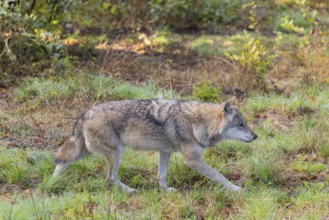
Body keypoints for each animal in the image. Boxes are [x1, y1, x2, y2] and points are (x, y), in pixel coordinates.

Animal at [52, 97, 256, 192]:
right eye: (241, 125)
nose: (256, 136)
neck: (198, 123)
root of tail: (84, 114)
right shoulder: (192, 160)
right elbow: (219, 175)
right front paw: (236, 189)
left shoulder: (164, 152)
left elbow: (162, 175)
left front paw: (166, 191)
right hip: (117, 153)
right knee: (111, 177)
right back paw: (130, 191)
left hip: (85, 152)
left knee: (61, 162)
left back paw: (52, 183)